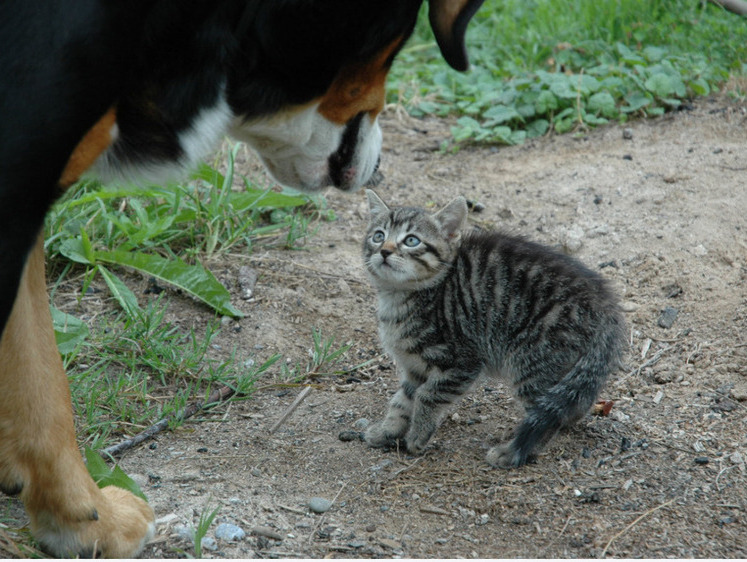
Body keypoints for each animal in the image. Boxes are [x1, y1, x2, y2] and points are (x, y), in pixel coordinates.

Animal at [362, 190, 624, 466]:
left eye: (411, 241)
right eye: (378, 236)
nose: (385, 251)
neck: (398, 297)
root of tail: (605, 305)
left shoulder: (462, 361)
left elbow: (428, 395)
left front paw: (418, 435)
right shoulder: (415, 367)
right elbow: (401, 401)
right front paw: (387, 430)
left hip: (533, 361)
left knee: (546, 415)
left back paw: (511, 453)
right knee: (571, 402)